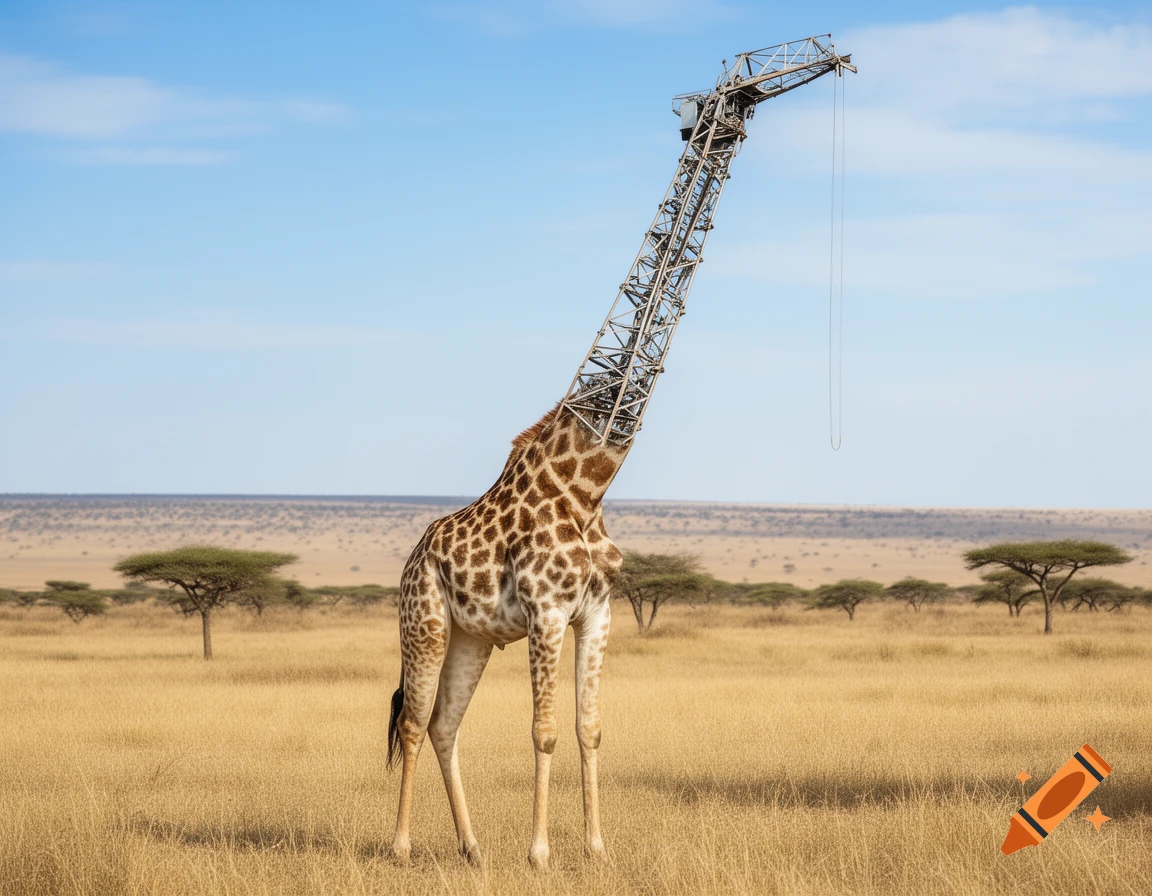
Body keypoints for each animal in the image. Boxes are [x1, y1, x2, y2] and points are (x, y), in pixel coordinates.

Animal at [388, 403, 628, 869]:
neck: (586, 491)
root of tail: (413, 558)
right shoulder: (547, 612)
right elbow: (545, 732)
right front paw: (539, 855)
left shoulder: (597, 614)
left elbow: (589, 728)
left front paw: (597, 851)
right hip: (424, 624)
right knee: (412, 722)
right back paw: (400, 848)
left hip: (471, 640)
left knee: (444, 726)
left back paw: (472, 849)